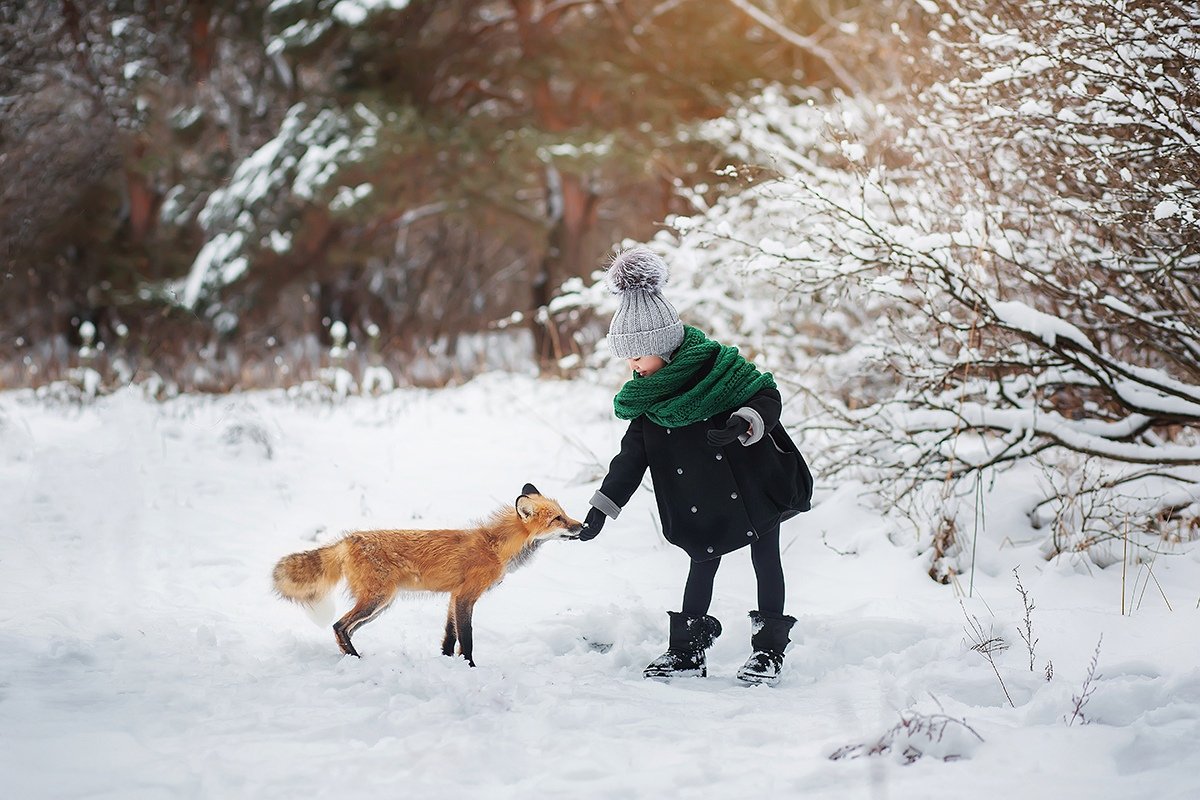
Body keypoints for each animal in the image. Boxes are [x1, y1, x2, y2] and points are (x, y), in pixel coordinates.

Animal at [277, 484, 585, 666]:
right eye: (557, 519)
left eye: (564, 513)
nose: (582, 526)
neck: (496, 547)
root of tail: (349, 540)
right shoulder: (466, 596)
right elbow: (467, 639)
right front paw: (469, 668)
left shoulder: (453, 596)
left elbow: (449, 636)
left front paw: (446, 662)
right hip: (377, 600)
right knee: (339, 625)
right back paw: (356, 659)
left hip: (380, 605)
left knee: (345, 629)